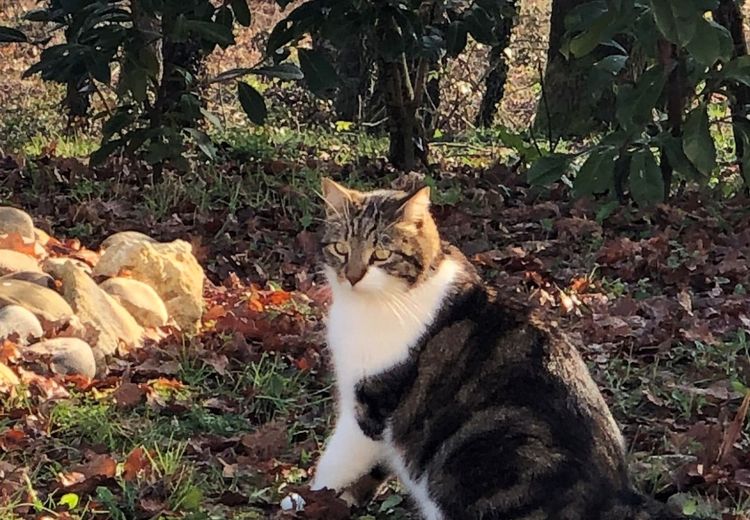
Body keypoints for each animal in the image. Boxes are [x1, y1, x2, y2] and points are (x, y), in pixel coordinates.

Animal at [312, 177, 688, 516]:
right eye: (341, 249)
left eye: (381, 253)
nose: (352, 276)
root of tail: (617, 494)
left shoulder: (370, 406)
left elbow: (334, 464)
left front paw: (311, 497)